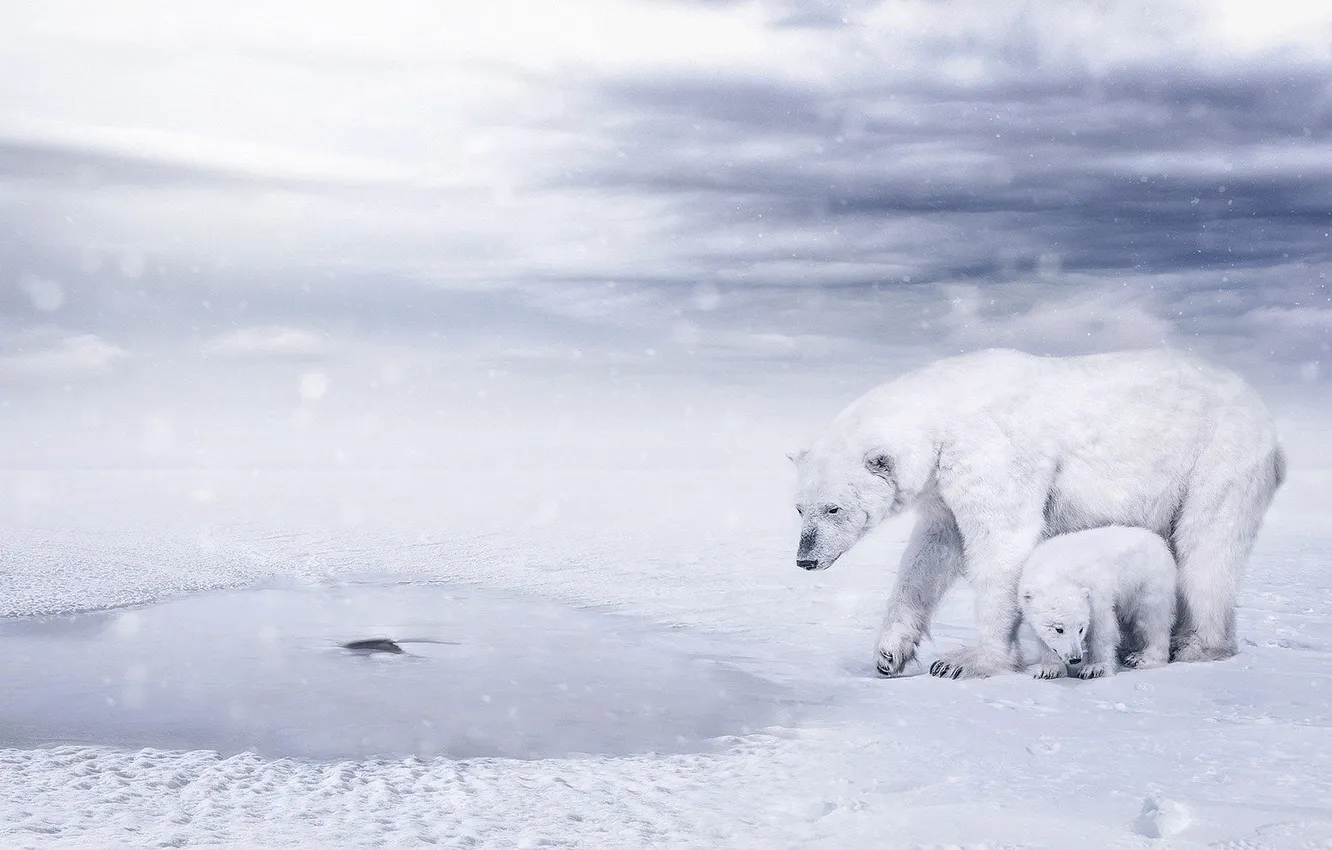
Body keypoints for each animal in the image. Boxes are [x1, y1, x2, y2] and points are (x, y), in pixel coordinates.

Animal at [1019, 526, 1177, 680]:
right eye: (1059, 629)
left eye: (1081, 629)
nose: (1075, 658)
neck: (1057, 572)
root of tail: (1158, 540)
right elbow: (1042, 639)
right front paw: (1049, 670)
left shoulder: (1095, 592)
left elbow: (1101, 628)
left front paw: (1094, 668)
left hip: (1148, 581)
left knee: (1151, 620)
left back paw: (1142, 658)